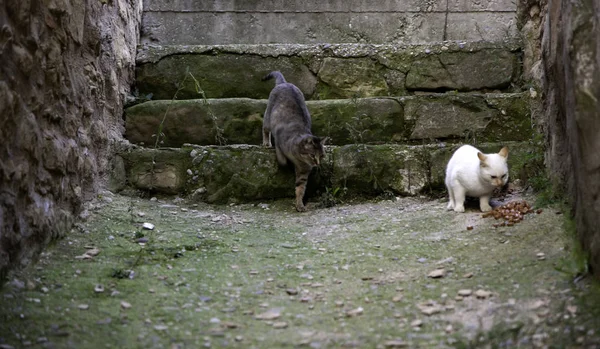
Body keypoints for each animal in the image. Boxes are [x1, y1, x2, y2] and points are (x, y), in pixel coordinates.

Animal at [262, 70, 328, 211]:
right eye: (312, 155)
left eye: (322, 156)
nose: (317, 164)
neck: (298, 159)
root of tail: (284, 83)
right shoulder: (279, 137)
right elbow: (281, 156)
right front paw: (284, 162)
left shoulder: (304, 172)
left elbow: (300, 188)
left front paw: (299, 204)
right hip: (268, 116)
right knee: (264, 129)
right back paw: (266, 143)